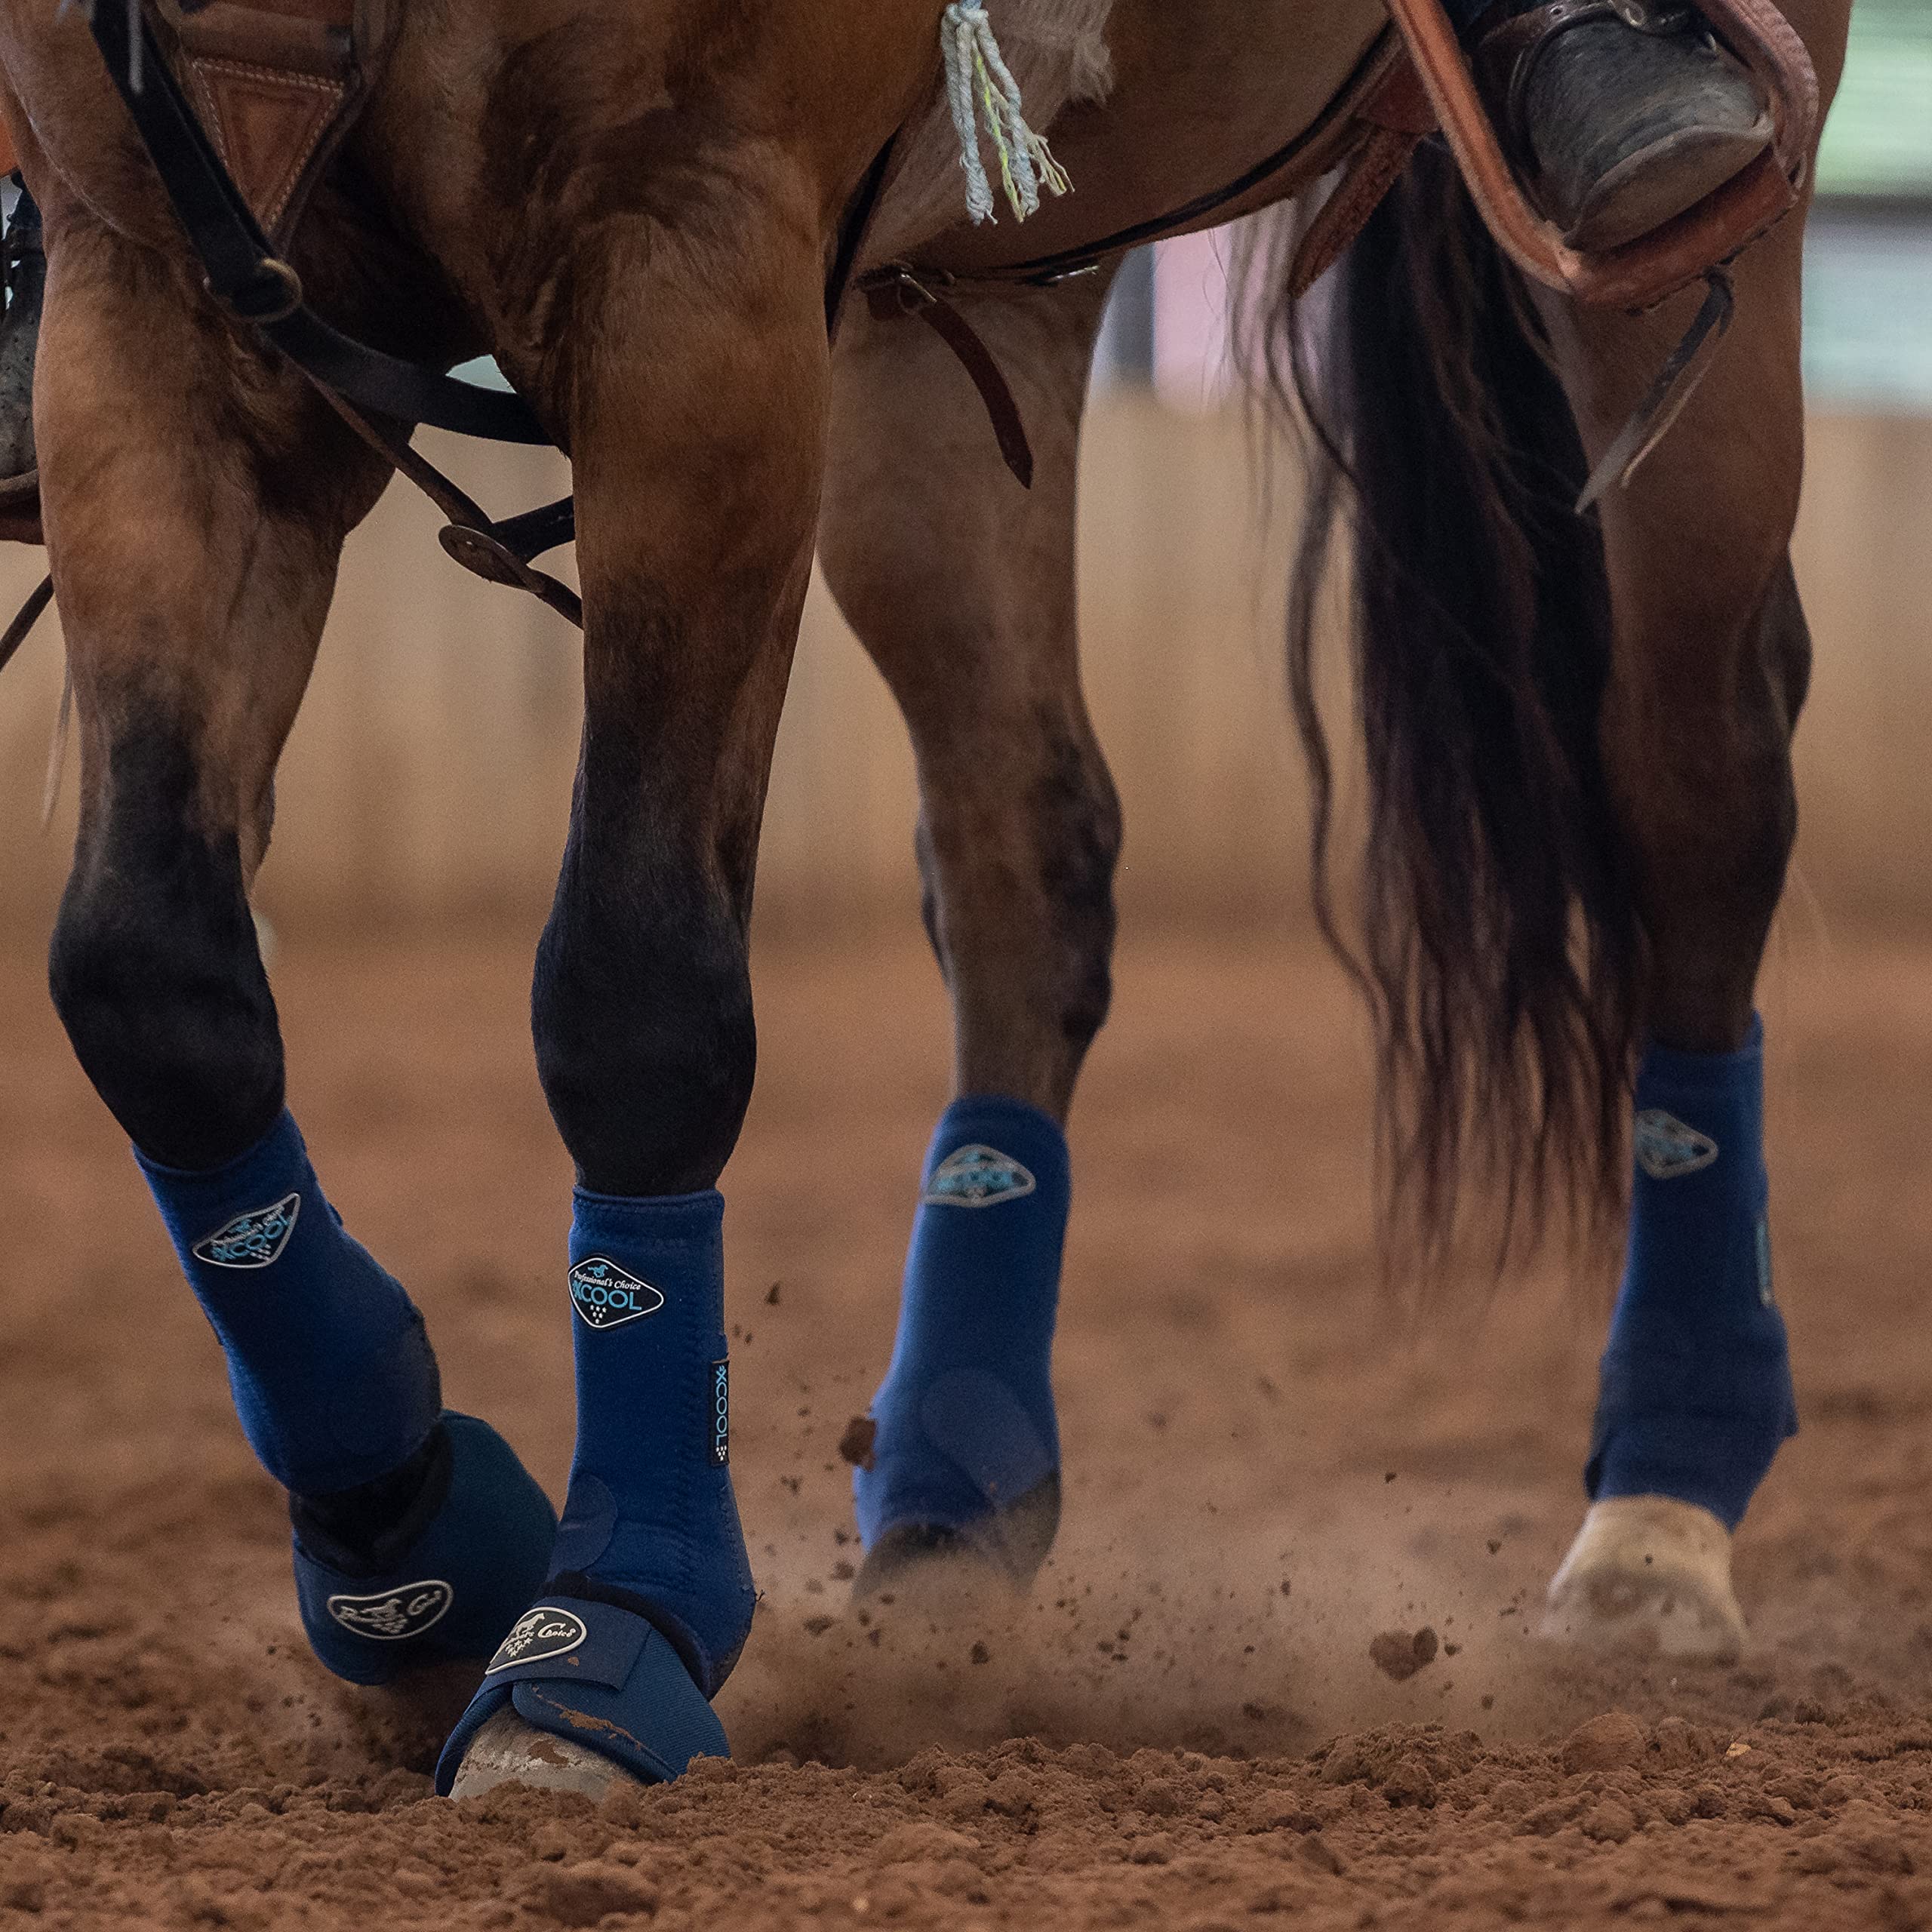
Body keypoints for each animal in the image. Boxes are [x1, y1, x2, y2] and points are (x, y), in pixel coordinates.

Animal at [0, 0, 1851, 1799]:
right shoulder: (154, 283)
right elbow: (152, 983)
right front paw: (416, 1550)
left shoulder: (701, 285)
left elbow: (637, 1003)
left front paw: (611, 1626)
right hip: (961, 314)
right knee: (1025, 856)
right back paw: (950, 1508)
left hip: (1683, 300)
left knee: (1698, 783)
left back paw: (1660, 1508)